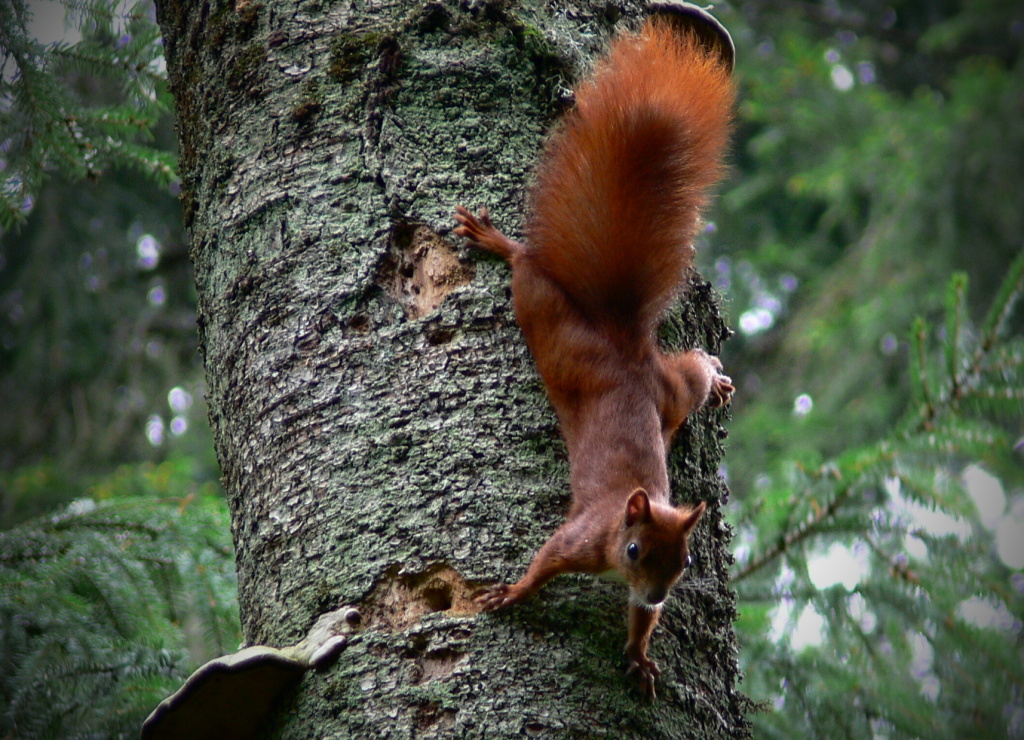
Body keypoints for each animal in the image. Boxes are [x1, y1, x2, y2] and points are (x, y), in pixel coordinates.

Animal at [456, 1, 737, 700]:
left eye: (685, 562)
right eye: (636, 551)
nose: (661, 593)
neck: (616, 533)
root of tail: (622, 339)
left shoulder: (640, 594)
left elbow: (638, 621)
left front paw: (639, 657)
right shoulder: (577, 541)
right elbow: (543, 563)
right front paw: (511, 593)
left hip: (669, 393)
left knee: (693, 369)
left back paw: (719, 379)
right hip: (548, 323)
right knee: (528, 269)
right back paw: (499, 242)